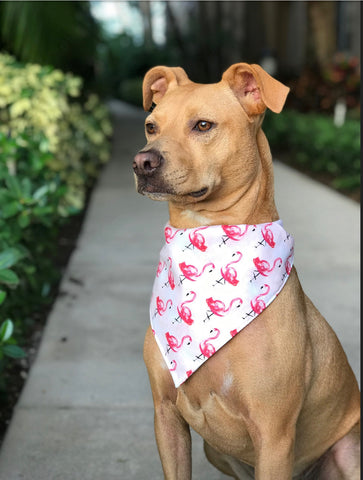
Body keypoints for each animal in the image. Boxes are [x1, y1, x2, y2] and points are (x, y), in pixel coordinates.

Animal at [133, 62, 362, 476]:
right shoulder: (166, 417)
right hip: (216, 450)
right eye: (151, 126)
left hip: (349, 449)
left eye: (203, 125)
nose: (142, 162)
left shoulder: (274, 435)